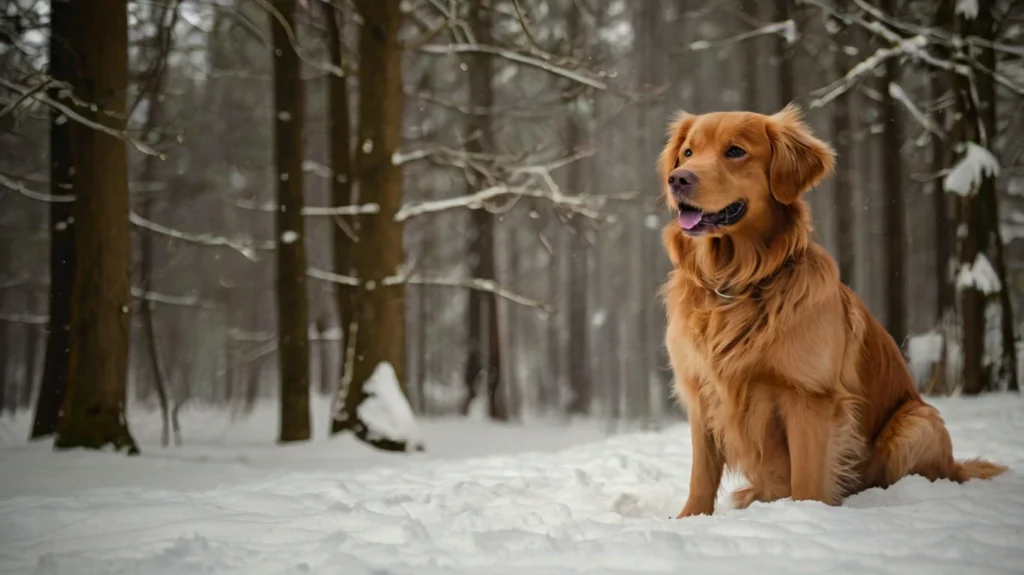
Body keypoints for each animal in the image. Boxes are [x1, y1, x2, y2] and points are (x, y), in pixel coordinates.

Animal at [659, 101, 1003, 515]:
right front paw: (690, 518)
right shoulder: (701, 394)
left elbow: (807, 478)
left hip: (917, 423)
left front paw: (807, 515)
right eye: (688, 153)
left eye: (735, 151)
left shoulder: (809, 397)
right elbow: (702, 475)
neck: (735, 285)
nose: (677, 180)